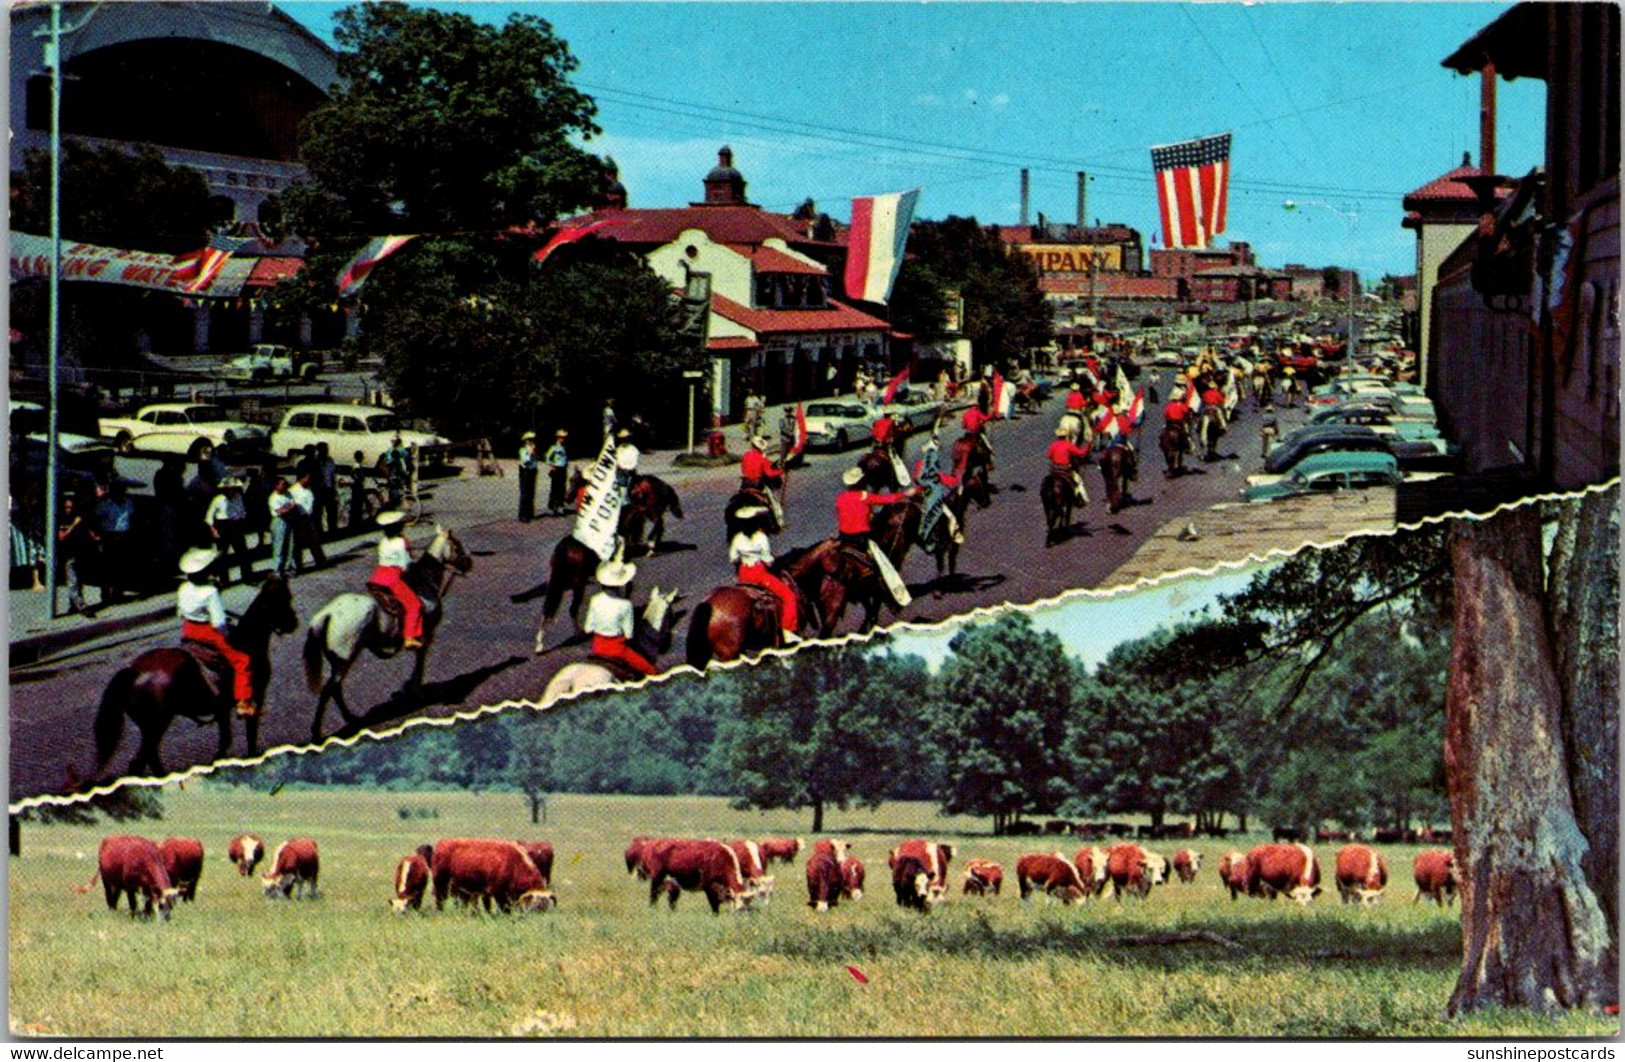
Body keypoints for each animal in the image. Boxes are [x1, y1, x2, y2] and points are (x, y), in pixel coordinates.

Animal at [93, 574, 299, 782]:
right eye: (284, 599)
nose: (293, 623)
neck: (247, 643)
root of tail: (133, 671)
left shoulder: (222, 709)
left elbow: (225, 741)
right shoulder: (254, 698)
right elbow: (247, 737)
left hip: (150, 729)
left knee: (148, 759)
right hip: (155, 727)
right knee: (139, 762)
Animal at [302, 522, 474, 740]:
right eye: (457, 545)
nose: (469, 563)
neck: (424, 581)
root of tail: (326, 614)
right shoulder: (427, 635)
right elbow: (420, 663)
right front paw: (417, 692)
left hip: (338, 661)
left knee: (335, 689)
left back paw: (349, 717)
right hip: (344, 659)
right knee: (329, 690)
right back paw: (318, 731)